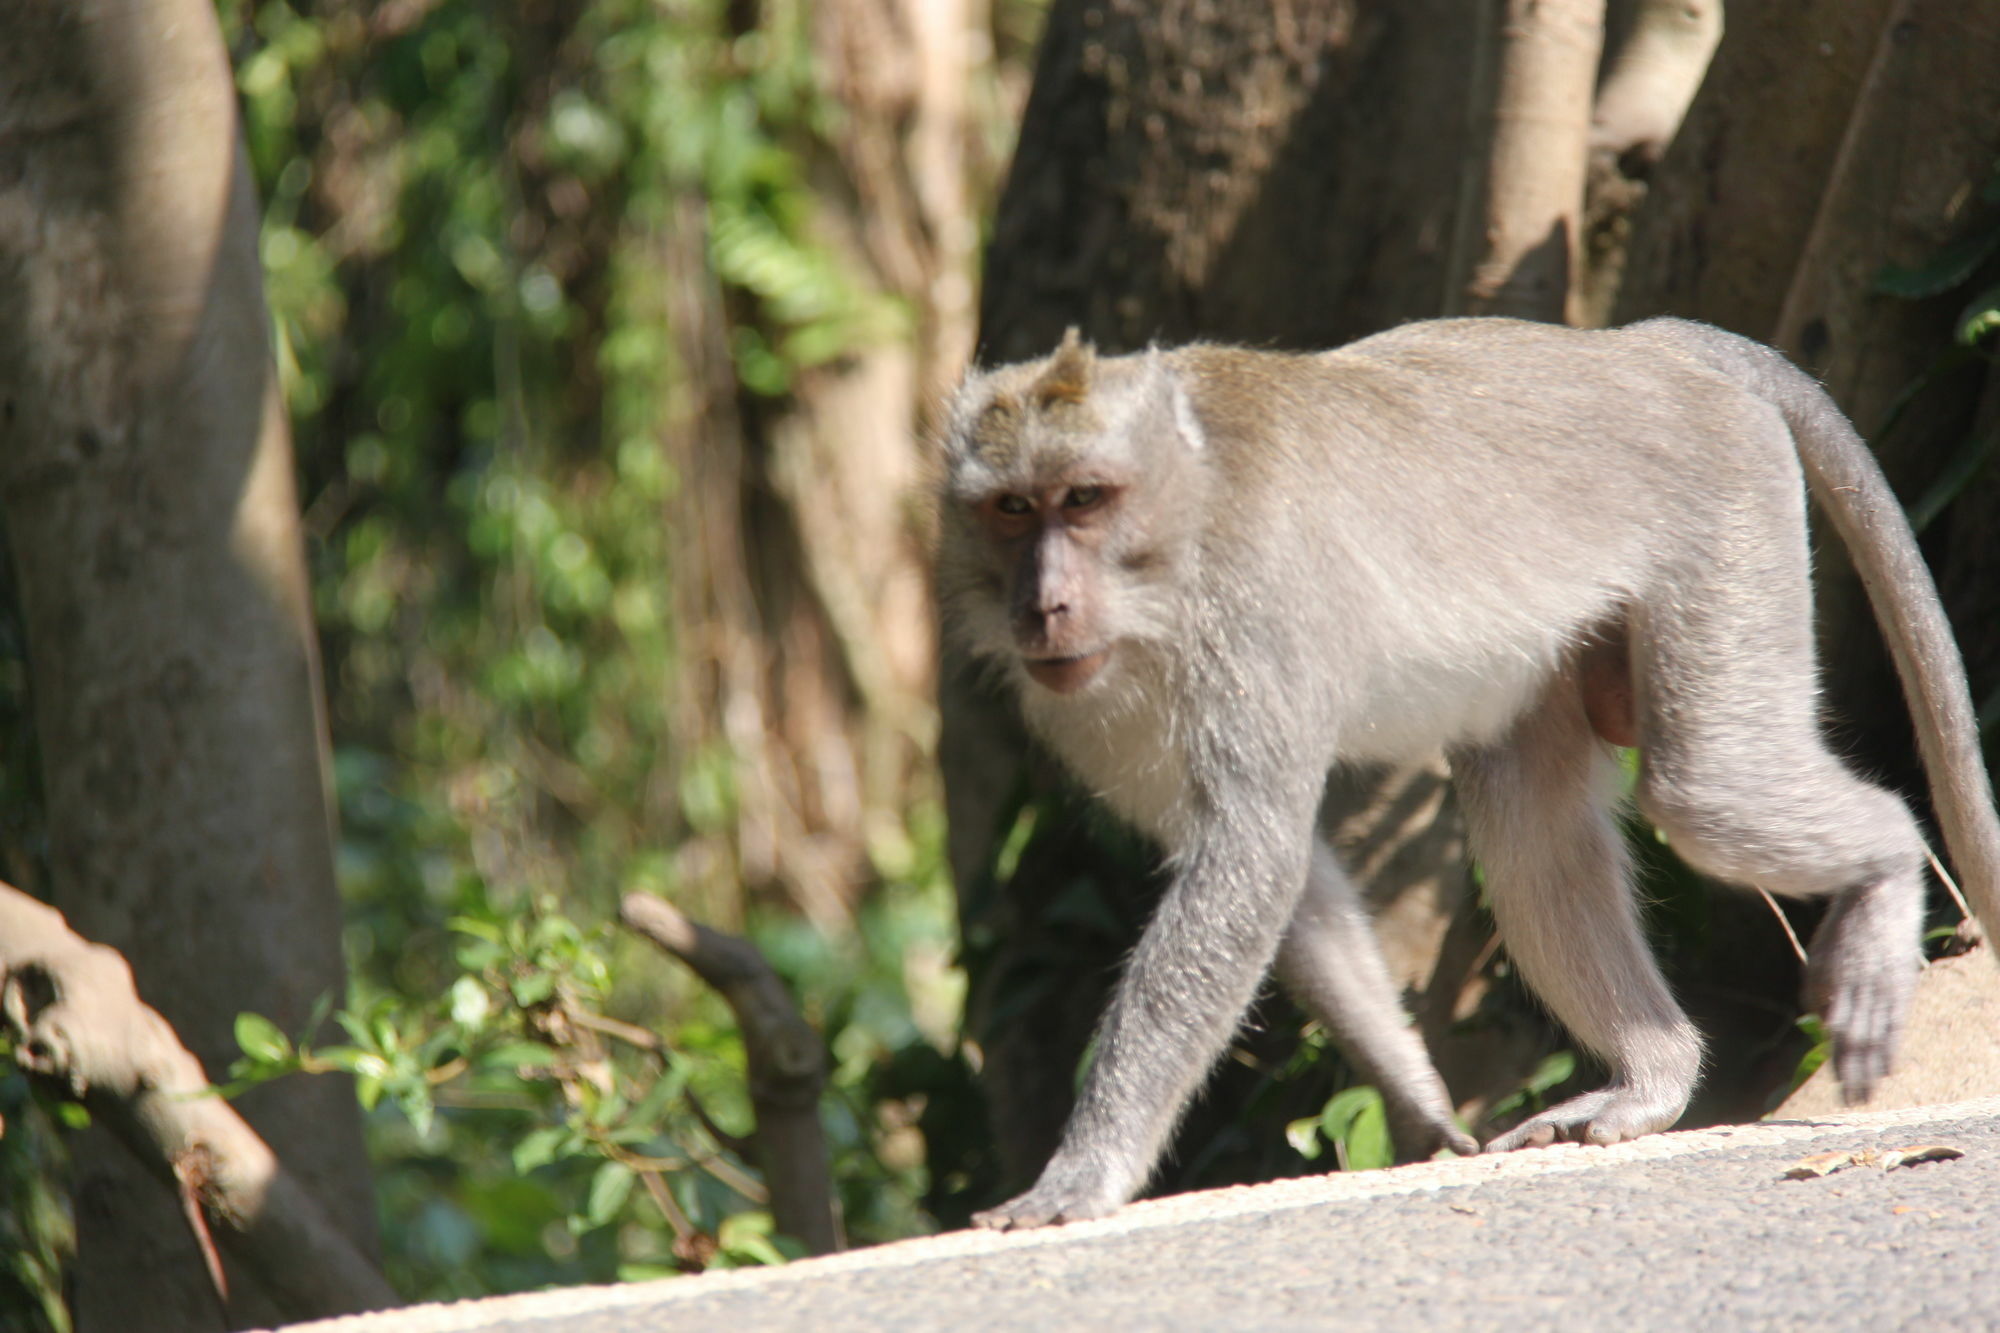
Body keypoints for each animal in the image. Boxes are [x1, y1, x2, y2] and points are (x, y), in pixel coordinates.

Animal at [936, 314, 2000, 1224]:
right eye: (1011, 510)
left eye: (1084, 499)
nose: (1043, 605)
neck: (1178, 529)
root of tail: (1635, 347)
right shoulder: (1091, 706)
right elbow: (1291, 878)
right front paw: (1421, 1108)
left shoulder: (1252, 607)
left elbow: (1251, 854)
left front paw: (1083, 1173)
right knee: (1533, 836)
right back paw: (1650, 1079)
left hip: (1724, 509)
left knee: (1706, 786)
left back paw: (1886, 868)